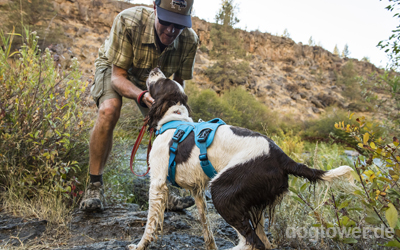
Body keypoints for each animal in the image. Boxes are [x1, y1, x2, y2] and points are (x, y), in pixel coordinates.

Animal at [128, 67, 354, 249]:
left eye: (161, 82)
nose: (155, 68)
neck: (173, 121)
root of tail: (281, 157)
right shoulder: (197, 191)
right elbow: (206, 228)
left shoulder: (158, 182)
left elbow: (150, 223)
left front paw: (139, 246)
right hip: (252, 203)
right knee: (263, 242)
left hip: (222, 192)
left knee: (251, 242)